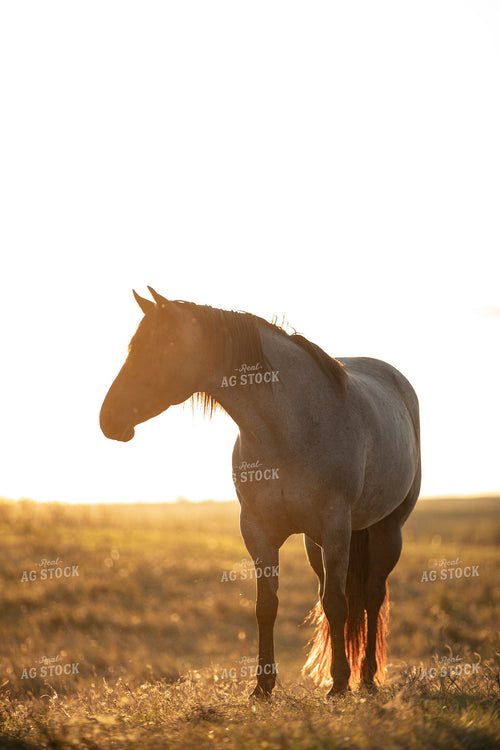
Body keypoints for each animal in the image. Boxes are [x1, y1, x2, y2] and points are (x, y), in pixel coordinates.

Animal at [99, 287, 421, 699]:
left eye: (163, 345)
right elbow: (266, 605)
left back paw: (364, 678)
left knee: (371, 596)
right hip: (315, 542)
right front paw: (263, 687)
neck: (288, 429)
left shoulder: (335, 526)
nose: (109, 419)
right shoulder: (258, 530)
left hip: (385, 531)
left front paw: (338, 685)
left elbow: (338, 603)